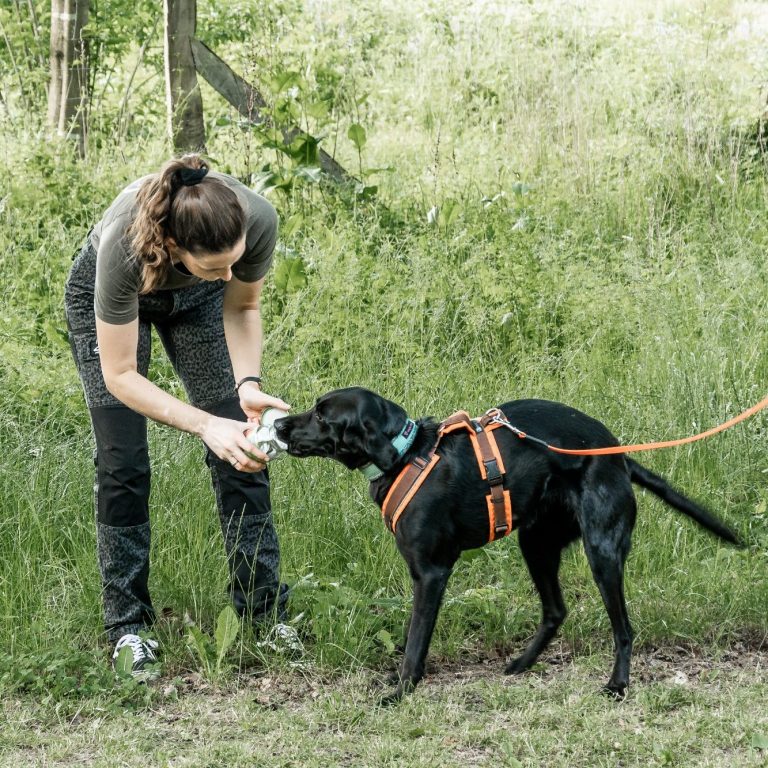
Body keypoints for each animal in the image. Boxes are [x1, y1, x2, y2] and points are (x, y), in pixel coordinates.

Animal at [272, 390, 740, 704]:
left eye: (322, 415)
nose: (278, 425)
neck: (406, 454)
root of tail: (618, 455)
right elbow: (409, 637)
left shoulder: (431, 573)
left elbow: (416, 640)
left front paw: (402, 690)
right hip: (536, 544)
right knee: (556, 611)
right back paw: (521, 664)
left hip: (602, 552)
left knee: (623, 629)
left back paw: (618, 684)